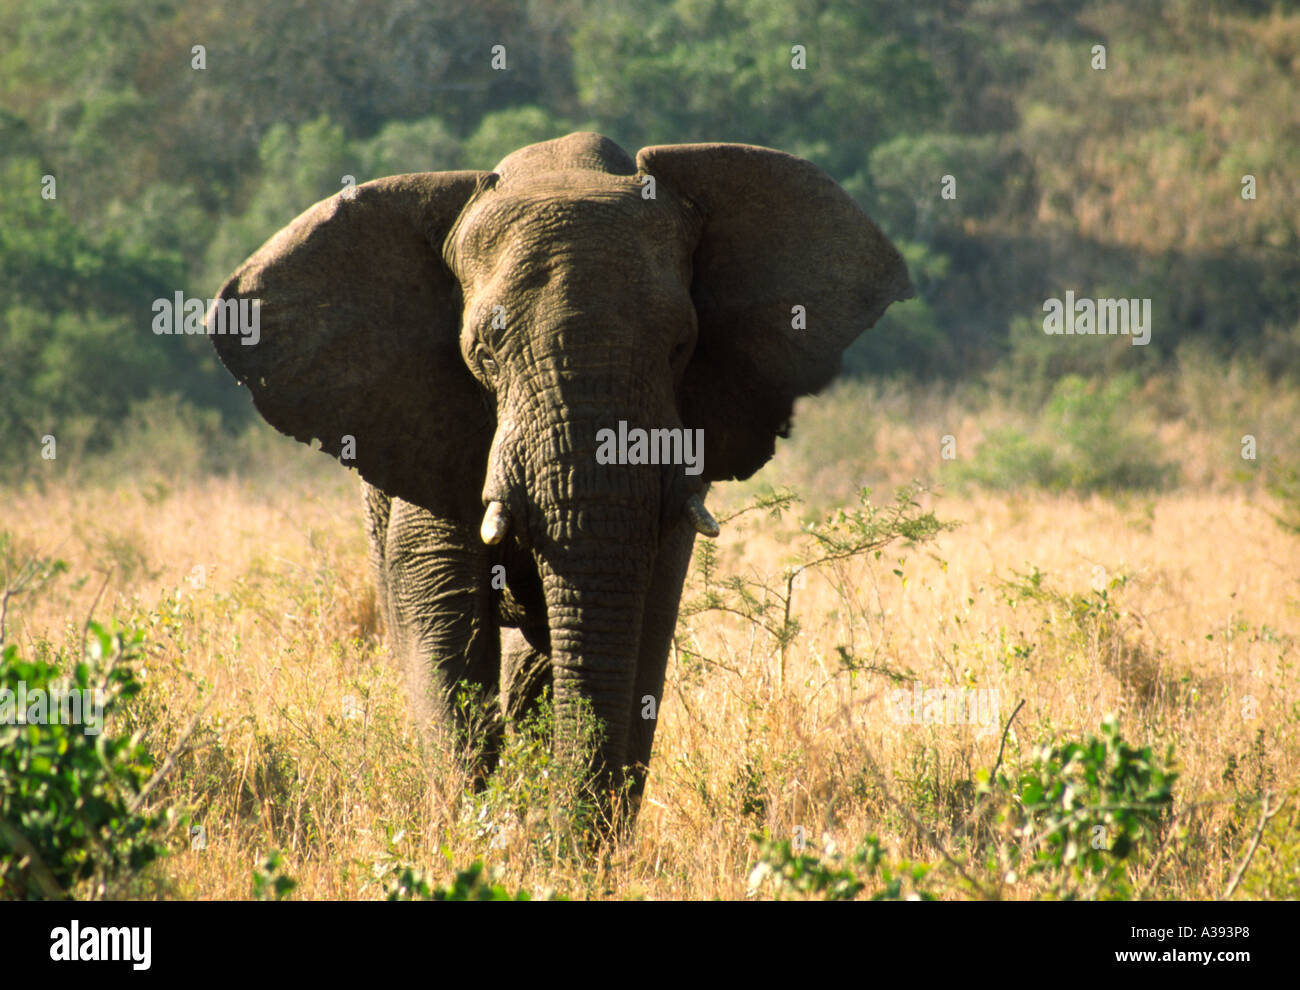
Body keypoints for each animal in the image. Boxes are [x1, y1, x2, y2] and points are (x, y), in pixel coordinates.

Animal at [205, 129, 915, 826]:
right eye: (484, 353)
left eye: (680, 347)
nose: (565, 832)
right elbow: (439, 609)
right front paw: (476, 828)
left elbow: (644, 624)